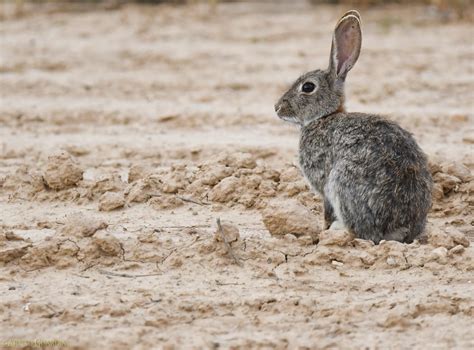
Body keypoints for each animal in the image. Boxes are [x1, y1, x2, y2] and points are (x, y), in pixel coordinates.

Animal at [274, 10, 434, 243]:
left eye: (308, 87)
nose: (277, 108)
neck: (325, 116)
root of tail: (400, 228)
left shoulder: (323, 183)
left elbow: (326, 211)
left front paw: (322, 230)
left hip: (342, 182)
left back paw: (337, 231)